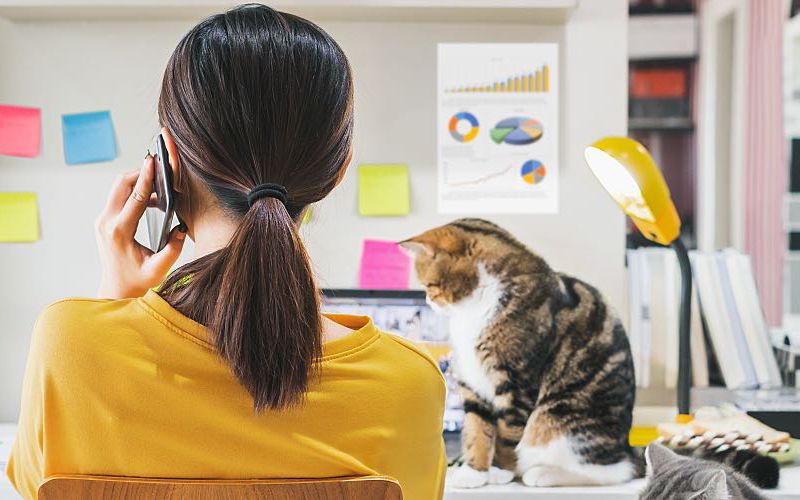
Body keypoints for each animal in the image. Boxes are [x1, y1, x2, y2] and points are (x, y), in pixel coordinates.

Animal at [404, 219, 640, 488]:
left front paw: (500, 471)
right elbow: (476, 428)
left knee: (613, 471)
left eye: (429, 285)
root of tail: (626, 445)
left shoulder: (516, 380)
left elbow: (507, 432)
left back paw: (543, 473)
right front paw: (474, 472)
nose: (427, 300)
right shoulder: (472, 381)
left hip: (558, 419)